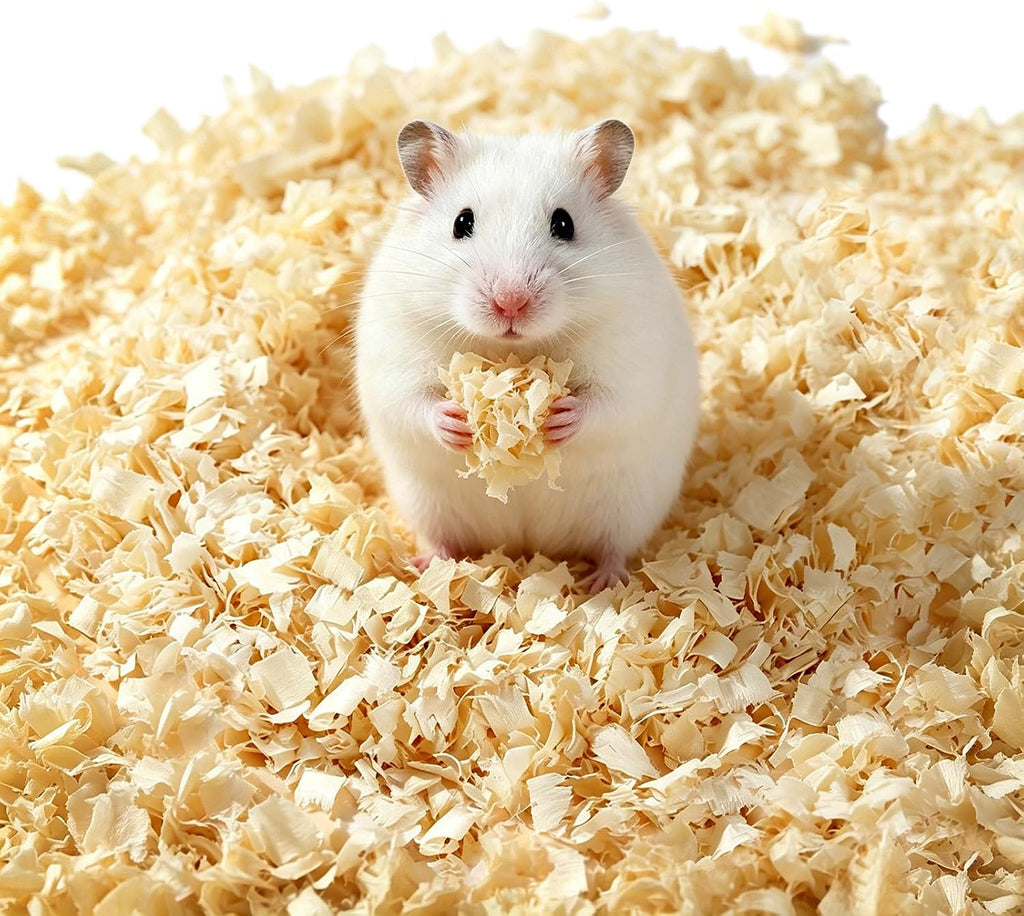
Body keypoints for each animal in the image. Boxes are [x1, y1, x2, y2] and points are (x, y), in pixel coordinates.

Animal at [355, 119, 699, 592]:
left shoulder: (633, 362)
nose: (511, 302)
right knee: (441, 538)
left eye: (564, 223)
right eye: (462, 222)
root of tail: (528, 545)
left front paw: (557, 417)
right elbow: (412, 403)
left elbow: (610, 406)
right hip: (426, 503)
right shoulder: (395, 354)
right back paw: (424, 567)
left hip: (630, 507)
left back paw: (603, 583)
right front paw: (458, 423)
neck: (512, 350)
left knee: (614, 547)